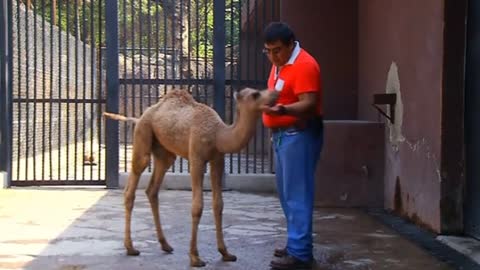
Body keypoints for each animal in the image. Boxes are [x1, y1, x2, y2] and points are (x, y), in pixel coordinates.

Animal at [104, 87, 278, 266]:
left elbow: (218, 205)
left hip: (164, 153)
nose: (275, 94)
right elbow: (197, 206)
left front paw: (226, 253)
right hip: (143, 134)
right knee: (132, 186)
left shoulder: (217, 159)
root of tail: (140, 116)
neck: (217, 134)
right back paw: (131, 248)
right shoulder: (196, 158)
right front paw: (195, 257)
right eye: (256, 94)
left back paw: (165, 245)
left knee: (152, 189)